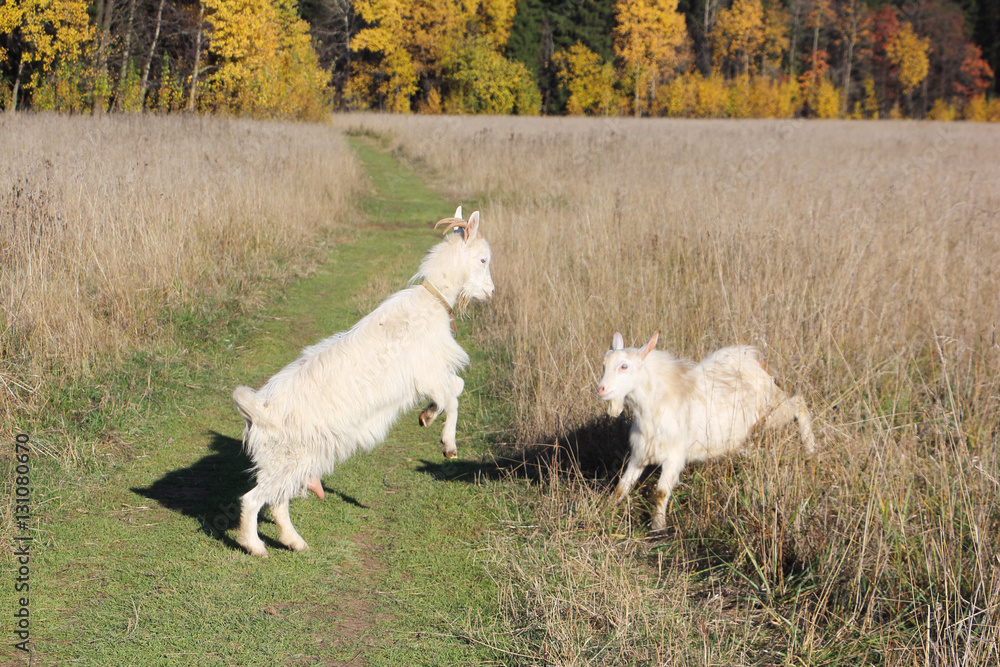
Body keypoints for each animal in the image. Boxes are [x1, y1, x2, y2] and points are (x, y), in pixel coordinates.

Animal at [232, 207, 494, 557]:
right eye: (482, 259)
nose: (491, 292)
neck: (432, 302)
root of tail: (256, 410)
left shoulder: (431, 375)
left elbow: (456, 389)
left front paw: (427, 415)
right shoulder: (428, 371)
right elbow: (452, 398)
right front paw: (448, 445)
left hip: (295, 460)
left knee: (277, 501)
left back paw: (295, 542)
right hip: (286, 458)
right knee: (253, 499)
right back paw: (256, 546)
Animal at [596, 331, 816, 531]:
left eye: (624, 366)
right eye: (604, 365)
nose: (601, 389)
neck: (655, 404)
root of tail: (757, 358)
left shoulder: (674, 456)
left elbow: (660, 492)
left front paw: (658, 527)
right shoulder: (640, 454)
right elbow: (621, 487)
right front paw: (605, 510)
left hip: (770, 411)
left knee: (799, 404)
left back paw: (810, 449)